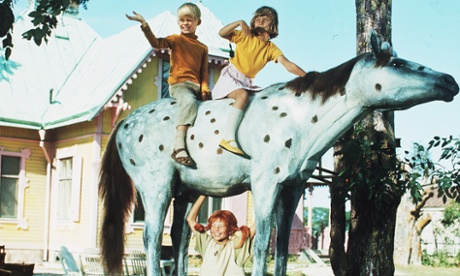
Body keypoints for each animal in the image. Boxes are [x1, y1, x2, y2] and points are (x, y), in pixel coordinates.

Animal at [99, 31, 458, 274]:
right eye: (397, 63)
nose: (450, 82)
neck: (297, 117)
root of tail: (125, 123)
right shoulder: (265, 186)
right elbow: (261, 245)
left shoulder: (292, 189)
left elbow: (282, 246)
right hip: (156, 188)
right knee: (151, 239)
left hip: (183, 192)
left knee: (179, 238)